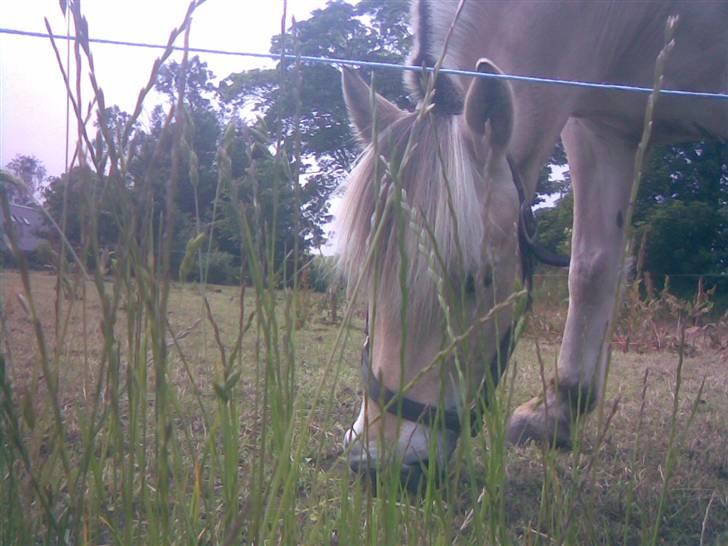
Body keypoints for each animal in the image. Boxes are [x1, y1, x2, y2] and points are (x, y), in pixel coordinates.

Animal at [336, 0, 728, 484]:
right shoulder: (601, 127)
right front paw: (560, 411)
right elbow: (592, 267)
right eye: (369, 275)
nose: (377, 461)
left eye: (478, 281)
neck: (636, 18)